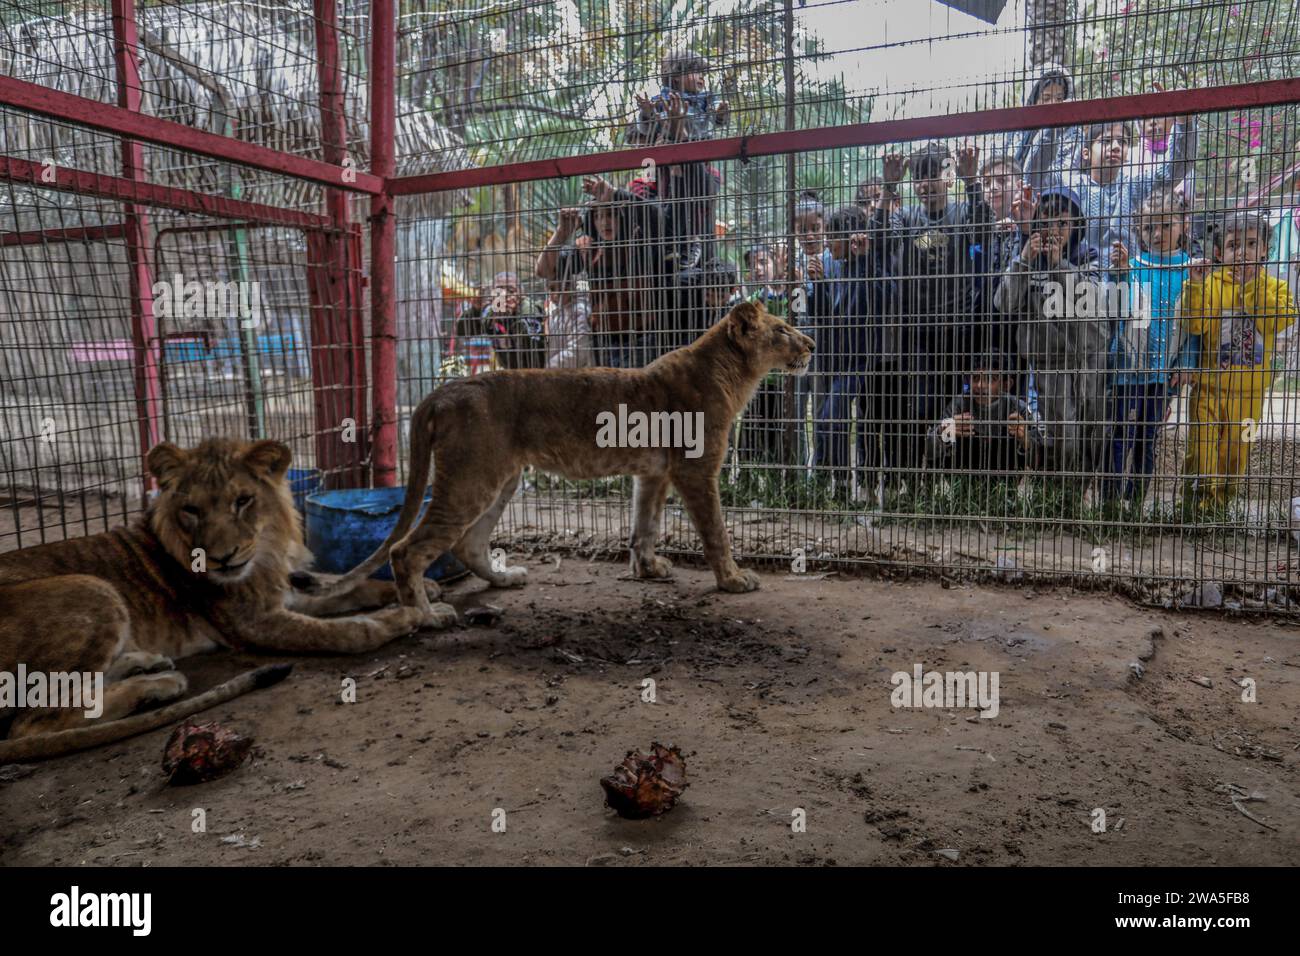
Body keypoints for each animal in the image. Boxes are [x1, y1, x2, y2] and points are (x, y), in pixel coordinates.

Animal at [0, 439, 436, 764]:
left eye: (242, 501)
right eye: (191, 509)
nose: (223, 558)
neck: (265, 553)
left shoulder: (283, 594)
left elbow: (350, 587)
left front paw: (425, 589)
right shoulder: (253, 623)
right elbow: (350, 632)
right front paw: (408, 614)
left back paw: (148, 663)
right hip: (93, 589)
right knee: (36, 720)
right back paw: (160, 684)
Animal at [317, 303, 811, 624]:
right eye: (783, 329)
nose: (811, 344)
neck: (732, 373)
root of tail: (443, 390)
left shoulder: (653, 474)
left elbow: (644, 527)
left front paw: (649, 570)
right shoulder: (695, 471)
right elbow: (716, 533)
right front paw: (733, 579)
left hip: (499, 479)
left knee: (467, 544)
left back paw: (503, 579)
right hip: (472, 480)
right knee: (406, 551)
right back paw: (427, 615)